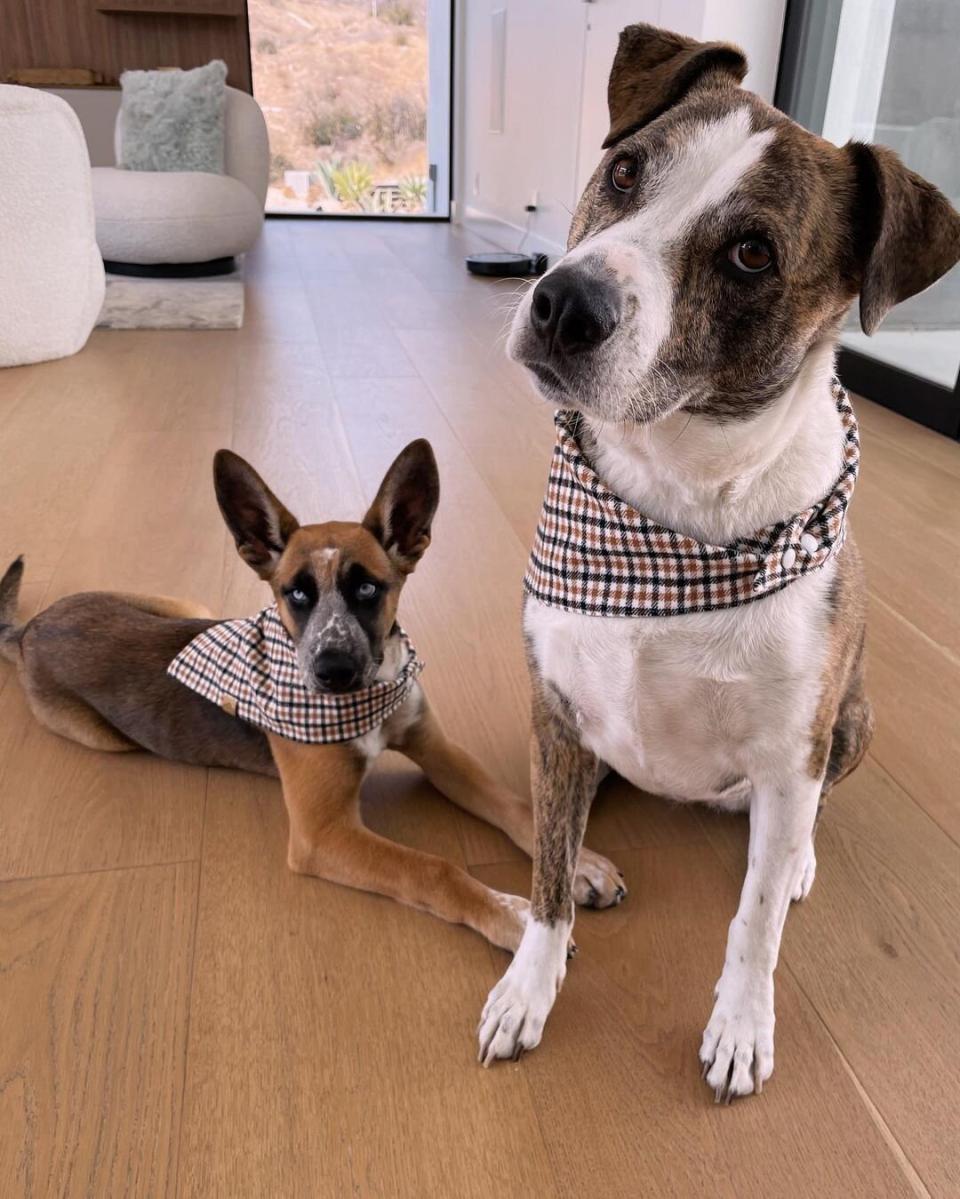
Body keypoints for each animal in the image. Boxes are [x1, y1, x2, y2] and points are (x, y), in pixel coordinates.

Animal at [0, 441, 623, 944]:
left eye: (368, 588)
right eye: (294, 594)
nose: (332, 670)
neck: (366, 701)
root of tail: (30, 629)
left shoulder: (439, 750)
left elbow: (518, 806)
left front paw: (580, 867)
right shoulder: (322, 834)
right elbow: (434, 870)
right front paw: (514, 920)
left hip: (185, 607)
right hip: (105, 735)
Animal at [474, 25, 958, 1098]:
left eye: (751, 253)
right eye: (623, 171)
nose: (563, 303)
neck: (671, 512)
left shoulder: (789, 750)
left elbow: (756, 922)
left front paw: (741, 1023)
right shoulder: (554, 710)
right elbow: (547, 878)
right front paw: (530, 986)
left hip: (851, 722)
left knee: (802, 821)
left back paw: (804, 855)